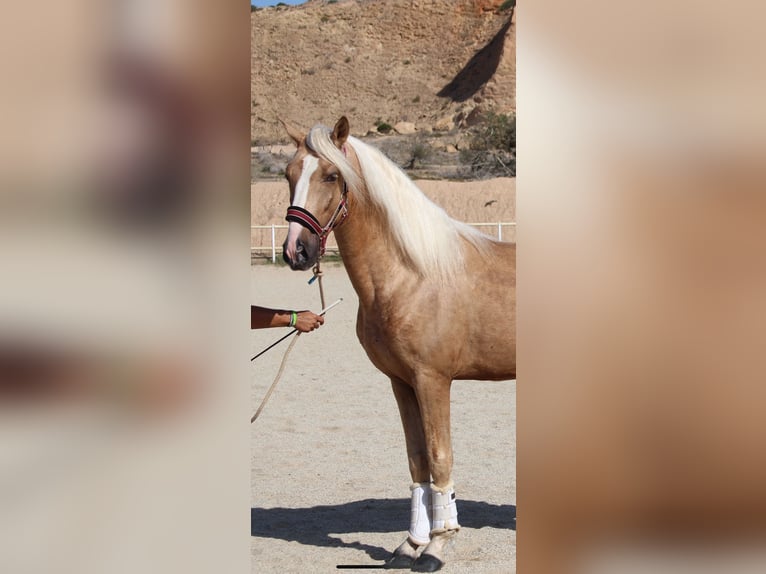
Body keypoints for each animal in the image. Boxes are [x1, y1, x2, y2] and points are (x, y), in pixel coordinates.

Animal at [280, 116, 520, 572]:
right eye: (288, 175)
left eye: (331, 175)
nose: (295, 251)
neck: (412, 275)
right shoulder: (402, 382)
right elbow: (417, 461)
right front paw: (410, 545)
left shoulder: (433, 381)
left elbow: (440, 457)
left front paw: (438, 547)